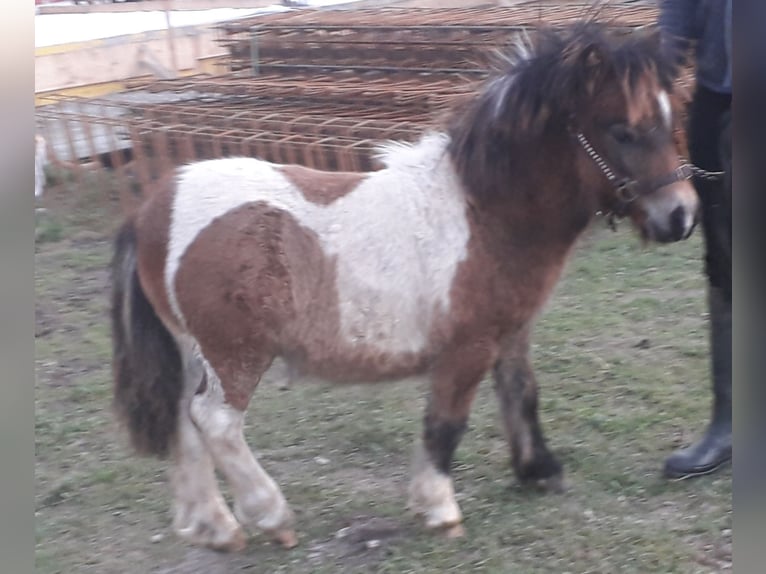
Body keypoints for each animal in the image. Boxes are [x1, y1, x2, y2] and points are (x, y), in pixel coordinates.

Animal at [109, 22, 704, 552]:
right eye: (622, 130)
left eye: (672, 118)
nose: (681, 216)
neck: (483, 211)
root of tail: (151, 211)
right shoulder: (467, 347)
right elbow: (446, 423)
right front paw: (438, 506)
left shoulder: (509, 332)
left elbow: (522, 393)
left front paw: (538, 471)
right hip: (234, 354)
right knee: (216, 423)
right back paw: (270, 515)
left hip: (191, 350)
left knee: (184, 423)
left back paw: (213, 526)